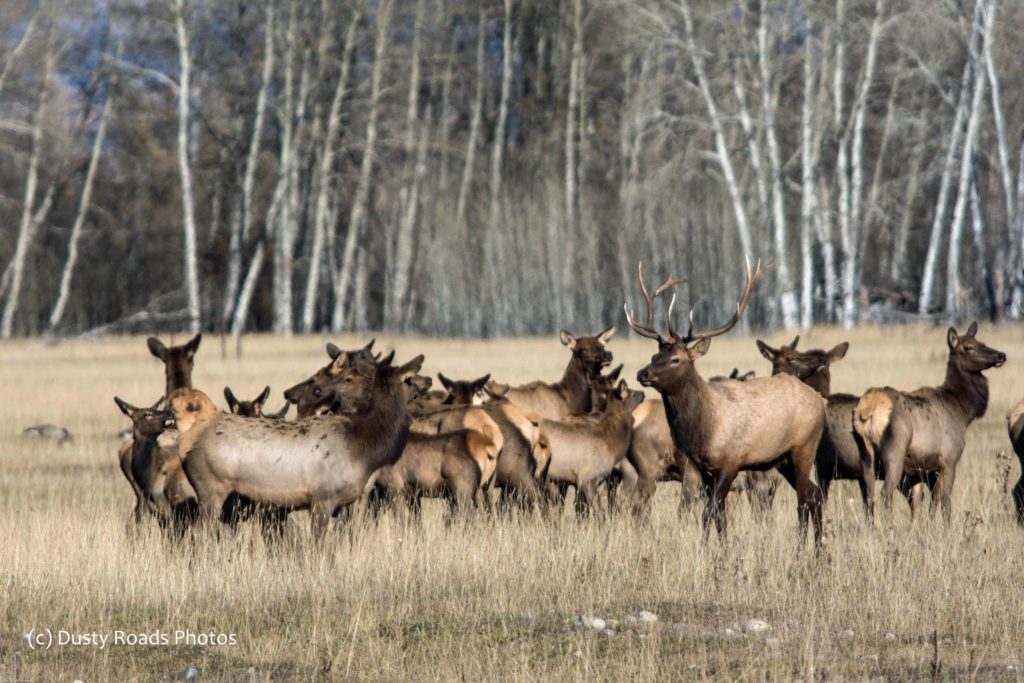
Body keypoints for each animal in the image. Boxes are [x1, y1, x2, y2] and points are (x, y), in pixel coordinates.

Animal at [181, 353, 423, 542]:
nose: (424, 385)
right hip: (211, 487)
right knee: (198, 532)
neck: (363, 451)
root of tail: (186, 449)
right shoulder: (322, 495)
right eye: (408, 379)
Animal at [626, 259, 825, 544]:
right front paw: (722, 550)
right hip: (782, 459)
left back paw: (801, 549)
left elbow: (708, 513)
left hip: (804, 448)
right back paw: (820, 549)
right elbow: (720, 516)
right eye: (655, 355)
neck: (704, 428)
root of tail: (821, 401)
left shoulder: (730, 462)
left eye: (676, 359)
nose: (643, 373)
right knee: (815, 495)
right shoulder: (703, 468)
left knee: (803, 501)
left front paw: (705, 550)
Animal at [853, 323, 1005, 522]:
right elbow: (945, 504)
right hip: (895, 450)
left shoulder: (919, 468)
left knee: (869, 496)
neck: (963, 411)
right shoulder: (949, 459)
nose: (1001, 355)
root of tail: (867, 409)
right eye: (968, 347)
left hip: (865, 454)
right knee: (886, 493)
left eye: (982, 342)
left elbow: (924, 504)